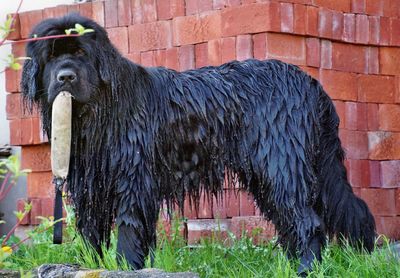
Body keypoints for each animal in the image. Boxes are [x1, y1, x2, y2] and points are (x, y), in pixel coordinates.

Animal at [20, 13, 376, 274]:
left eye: (81, 54)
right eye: (51, 58)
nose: (65, 77)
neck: (102, 110)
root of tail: (311, 83)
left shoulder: (133, 180)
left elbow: (129, 230)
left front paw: (126, 266)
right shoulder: (91, 186)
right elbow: (92, 232)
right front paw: (91, 265)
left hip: (279, 164)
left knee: (306, 220)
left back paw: (304, 269)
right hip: (282, 169)